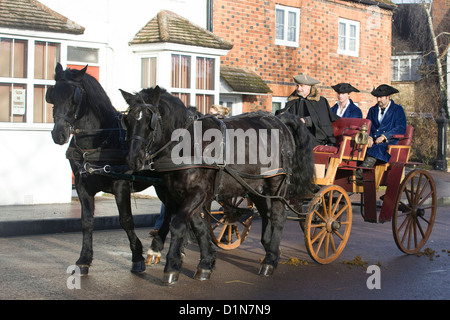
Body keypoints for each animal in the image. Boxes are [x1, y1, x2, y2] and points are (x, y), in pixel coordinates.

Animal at [46, 64, 163, 276]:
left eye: (75, 96)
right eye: (53, 94)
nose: (58, 134)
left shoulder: (121, 184)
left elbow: (126, 220)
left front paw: (137, 257)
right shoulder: (82, 184)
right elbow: (86, 221)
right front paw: (84, 259)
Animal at [121, 86, 314, 284]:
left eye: (150, 120)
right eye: (127, 120)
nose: (133, 159)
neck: (188, 143)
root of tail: (280, 121)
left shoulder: (197, 192)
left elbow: (178, 224)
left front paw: (172, 265)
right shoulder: (178, 193)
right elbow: (197, 226)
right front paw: (206, 263)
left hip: (276, 182)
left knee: (278, 215)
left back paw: (269, 261)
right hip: (255, 186)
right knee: (265, 213)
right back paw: (269, 248)